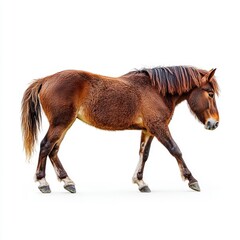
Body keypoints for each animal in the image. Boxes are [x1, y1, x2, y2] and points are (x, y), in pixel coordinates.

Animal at [20, 65, 219, 193]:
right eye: (210, 93)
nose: (214, 123)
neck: (156, 90)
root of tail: (46, 79)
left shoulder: (148, 130)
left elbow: (144, 155)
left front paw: (140, 181)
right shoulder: (159, 127)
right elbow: (175, 150)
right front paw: (192, 180)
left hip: (65, 124)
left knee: (54, 150)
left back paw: (67, 182)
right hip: (60, 124)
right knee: (46, 146)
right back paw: (43, 183)